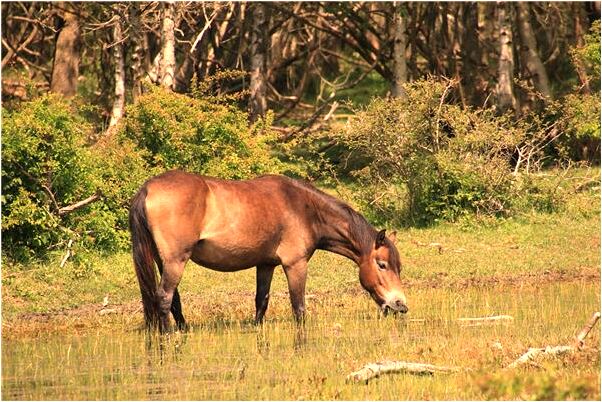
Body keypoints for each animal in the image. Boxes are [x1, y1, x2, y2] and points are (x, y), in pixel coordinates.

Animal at [128, 168, 406, 332]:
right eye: (382, 265)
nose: (400, 305)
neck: (303, 209)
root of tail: (148, 188)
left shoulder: (266, 264)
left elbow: (261, 302)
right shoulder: (295, 264)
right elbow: (299, 307)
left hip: (164, 261)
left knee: (172, 300)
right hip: (176, 261)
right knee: (164, 297)